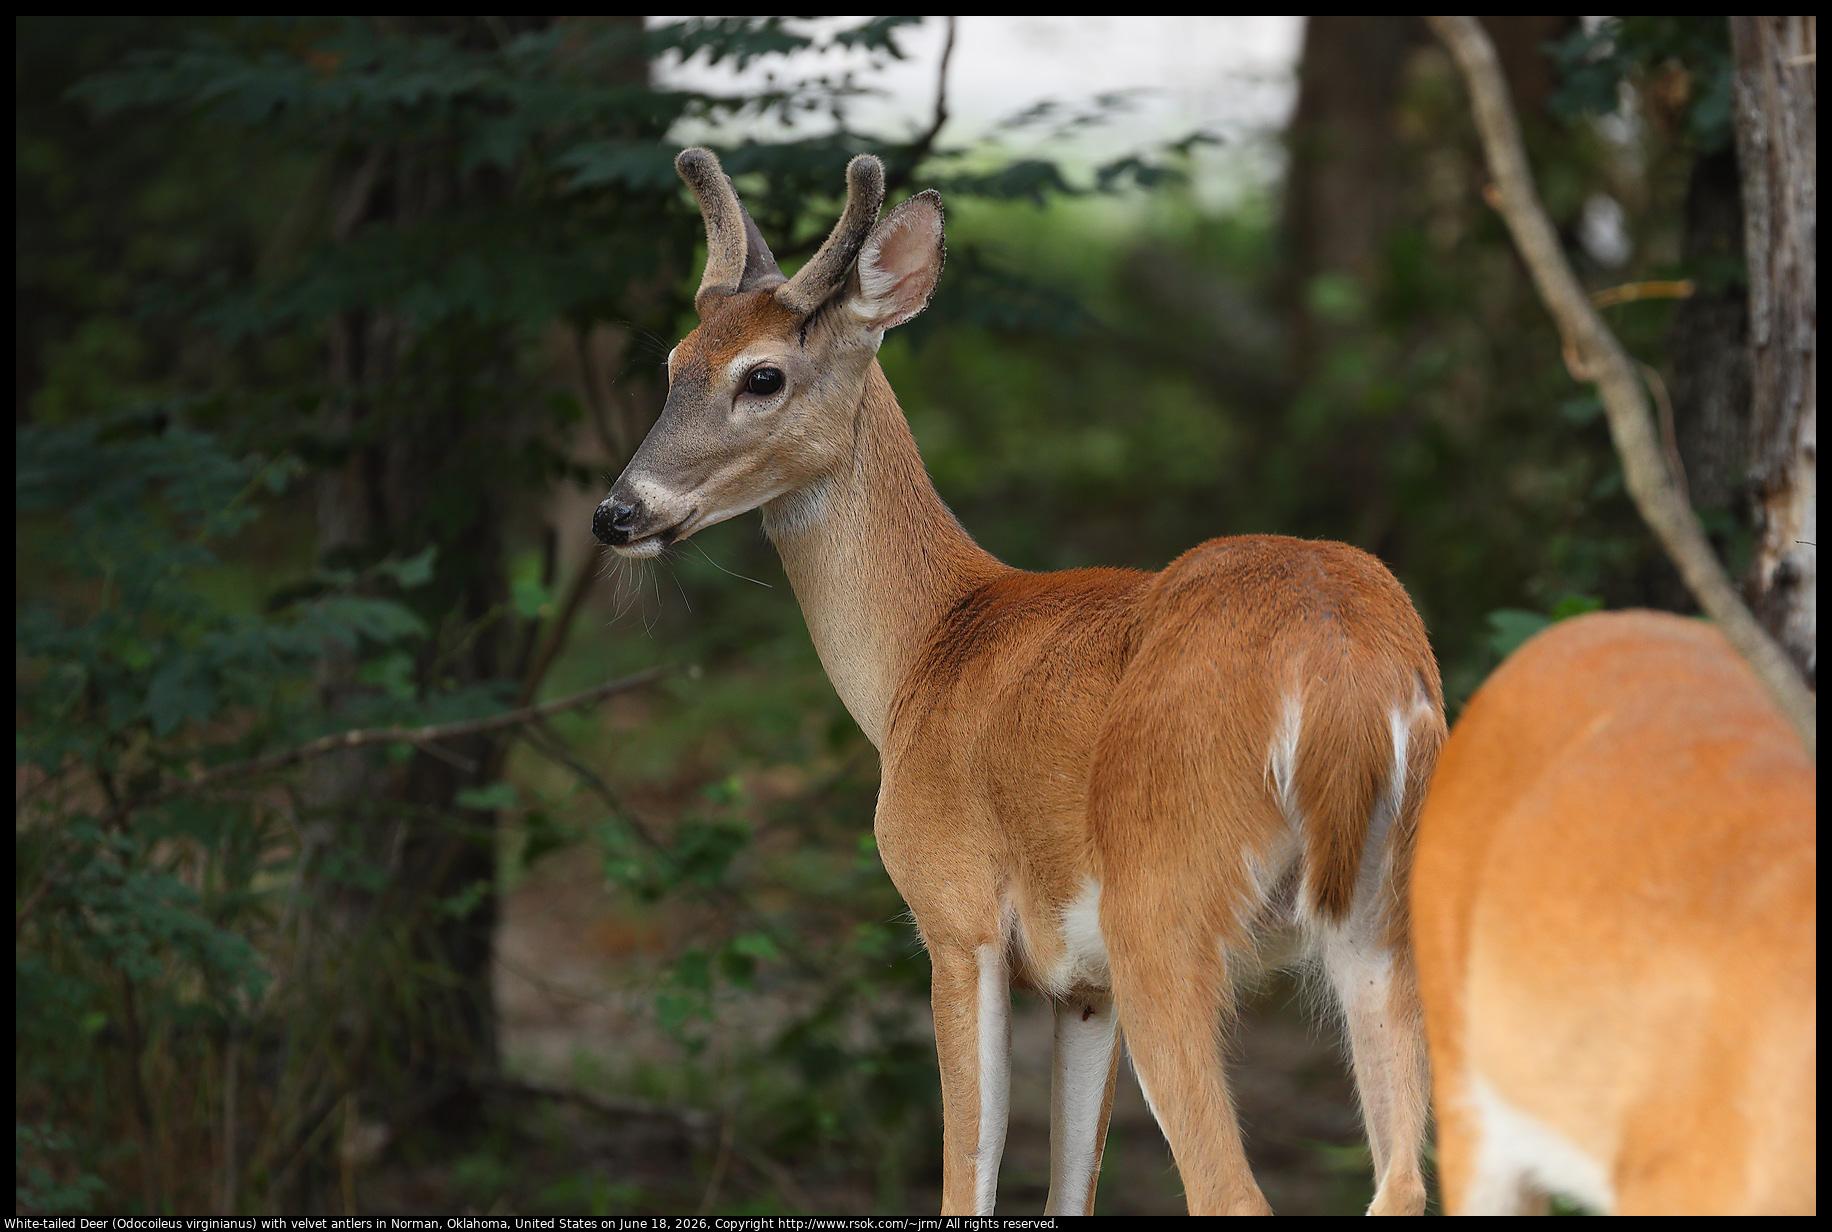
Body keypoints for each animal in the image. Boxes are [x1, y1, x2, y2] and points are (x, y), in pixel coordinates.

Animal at [592, 147, 1447, 1216]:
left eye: (763, 375)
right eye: (674, 363)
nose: (618, 513)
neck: (922, 653)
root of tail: (1345, 672)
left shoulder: (953, 908)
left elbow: (969, 1175)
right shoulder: (1084, 983)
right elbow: (1068, 1189)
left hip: (1167, 907)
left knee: (1235, 1190)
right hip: (1389, 917)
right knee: (1407, 1180)